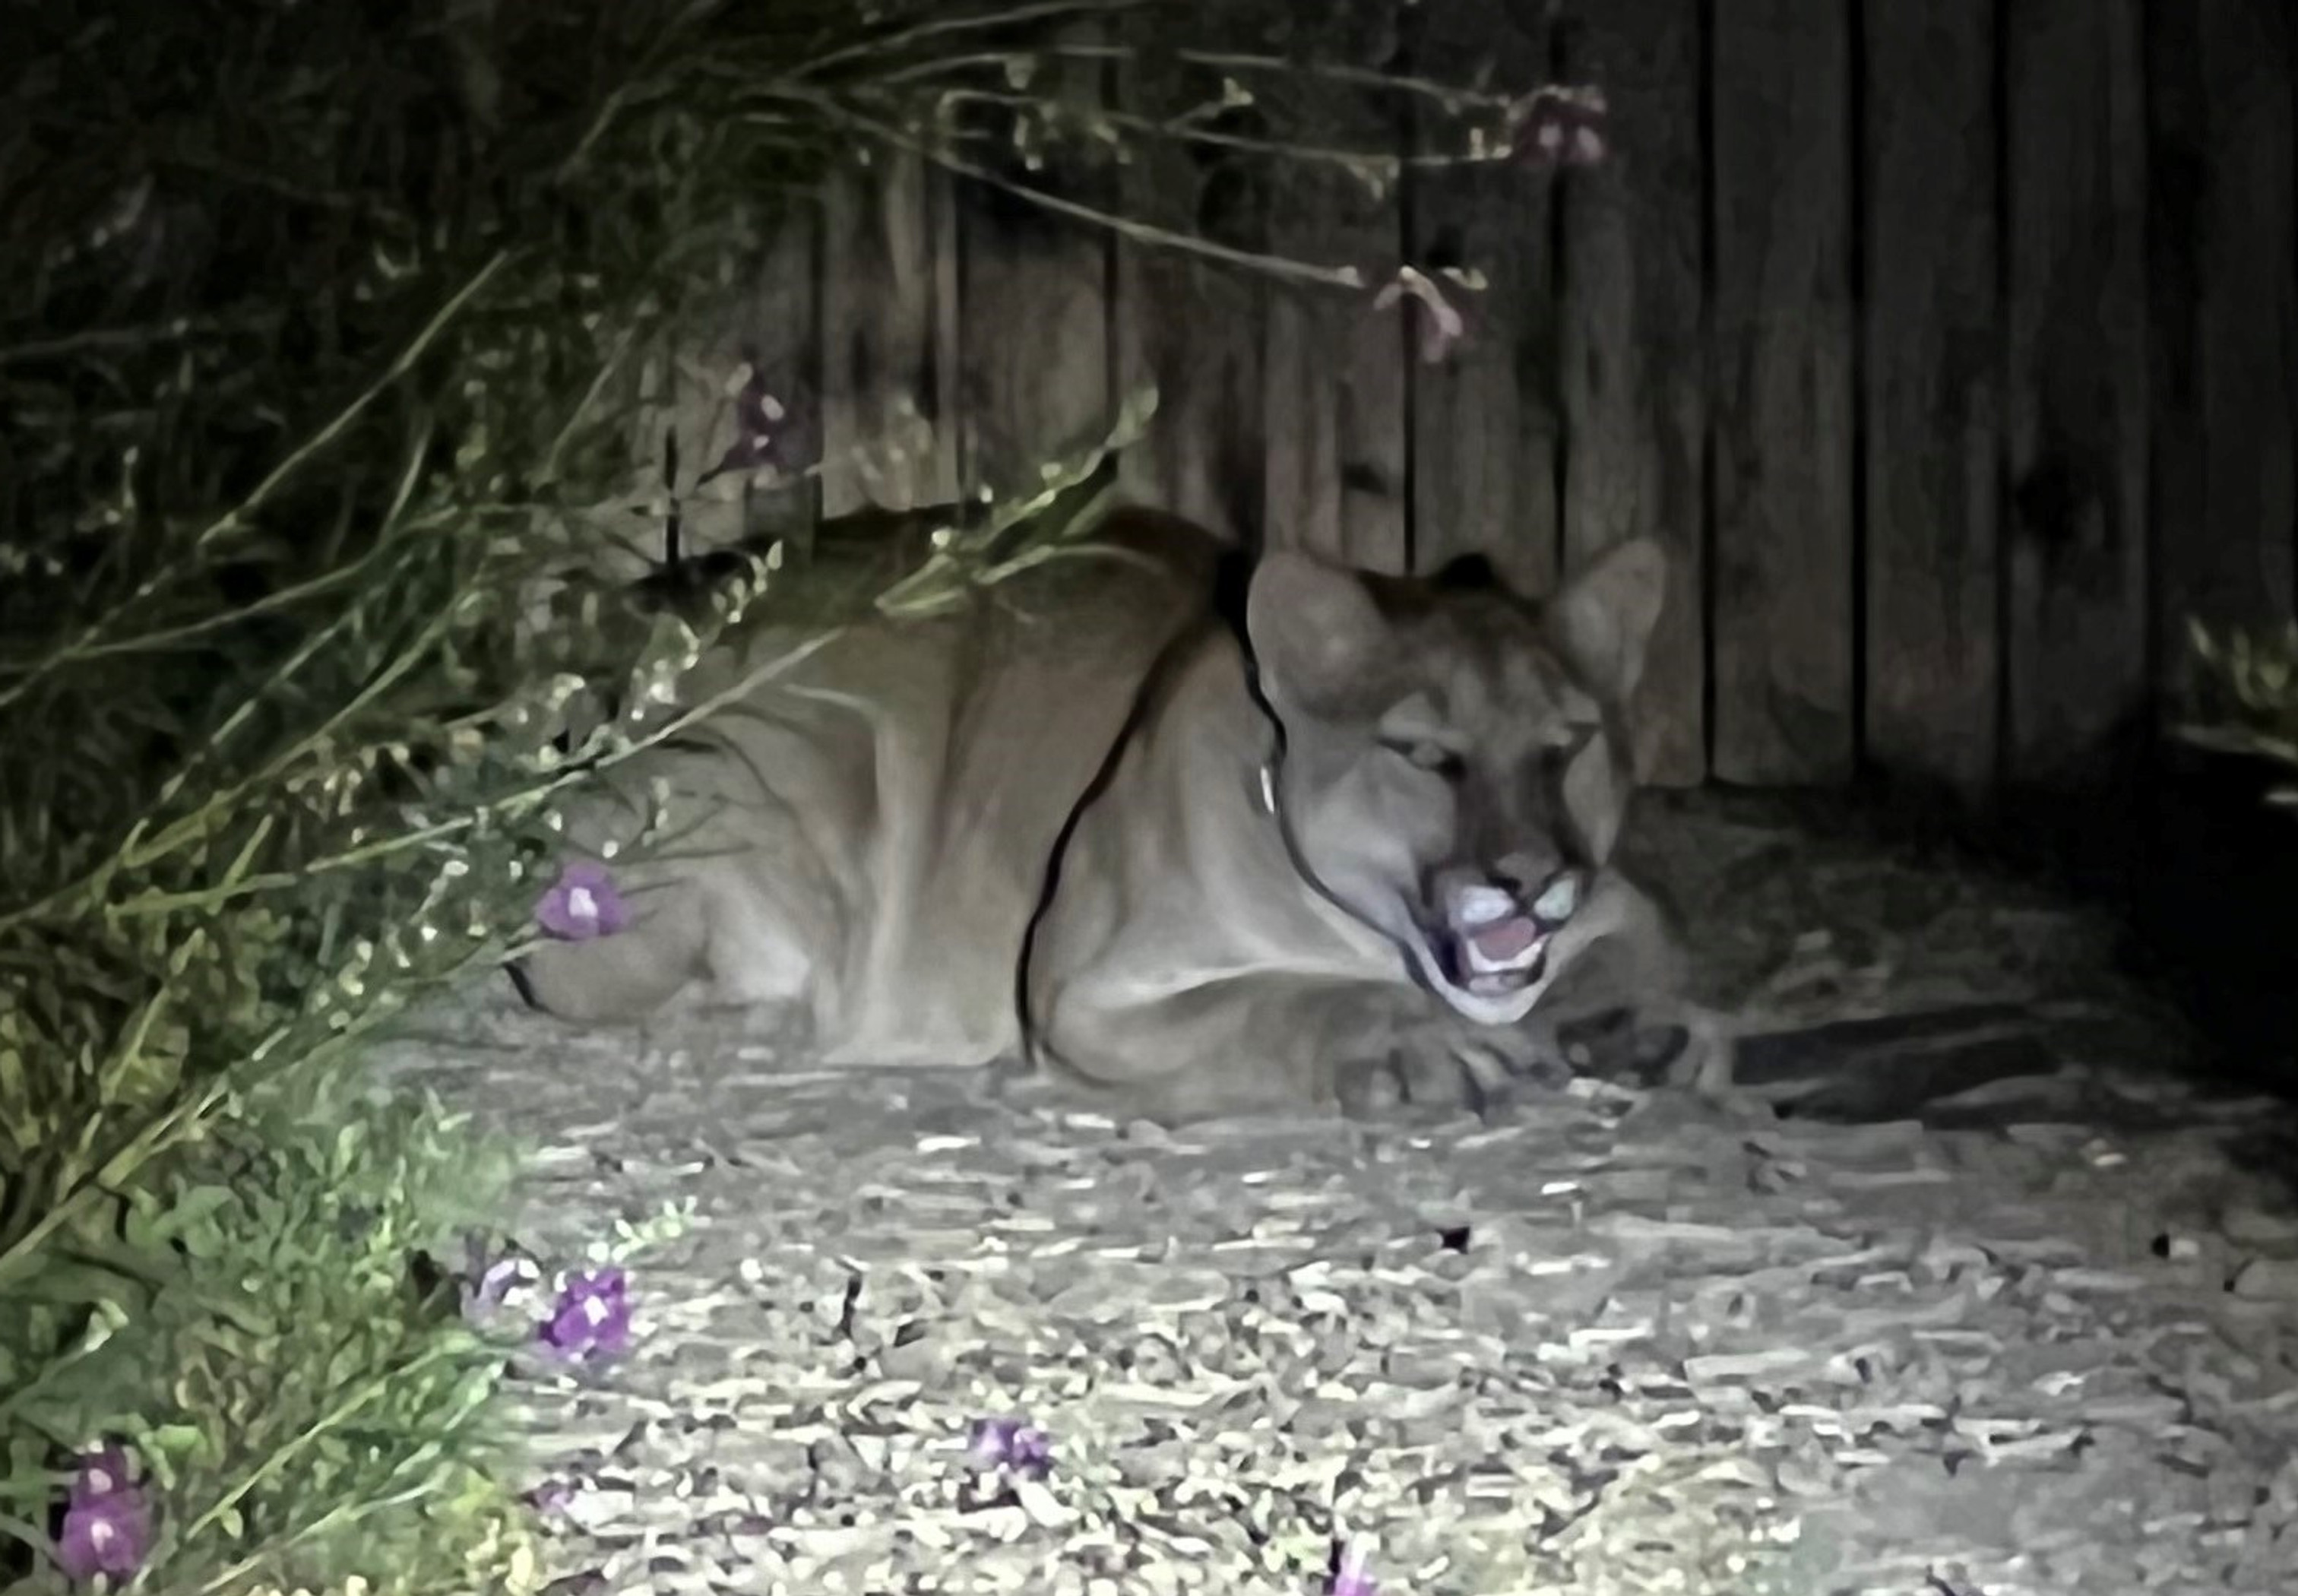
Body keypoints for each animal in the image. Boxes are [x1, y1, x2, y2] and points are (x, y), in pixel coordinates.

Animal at [508, 505, 1728, 1117]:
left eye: (1568, 744)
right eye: (1426, 756)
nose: (1529, 877)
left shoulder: (1615, 898)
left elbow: (1654, 941)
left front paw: (1637, 1025)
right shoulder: (1085, 991)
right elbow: (1280, 997)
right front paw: (1412, 1042)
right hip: (796, 755)